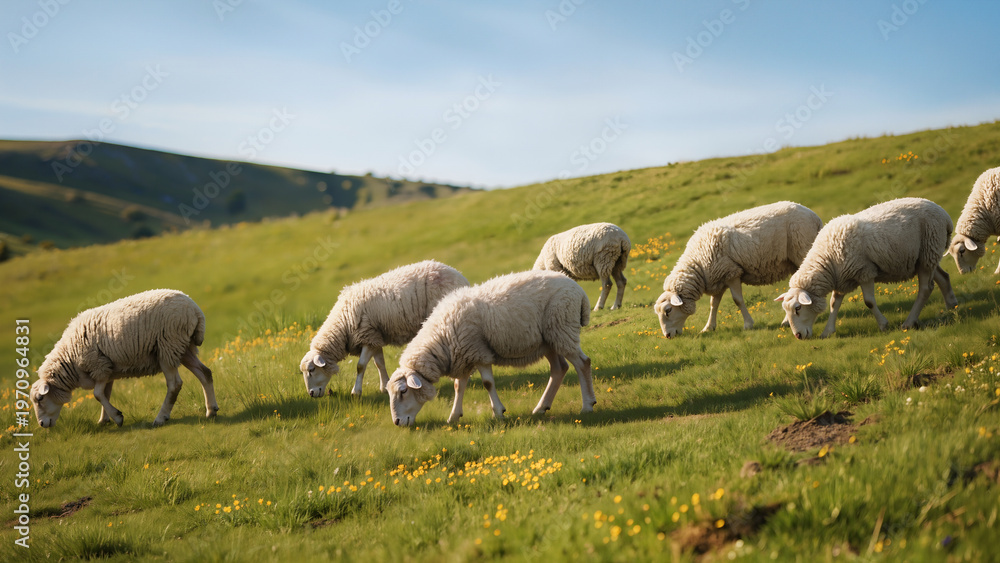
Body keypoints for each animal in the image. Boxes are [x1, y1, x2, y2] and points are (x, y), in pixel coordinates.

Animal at [29, 289, 217, 428]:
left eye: (40, 399)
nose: (41, 424)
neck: (69, 360)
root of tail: (195, 310)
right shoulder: (107, 369)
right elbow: (105, 394)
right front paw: (104, 420)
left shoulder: (98, 366)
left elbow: (97, 394)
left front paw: (118, 417)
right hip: (183, 347)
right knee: (205, 373)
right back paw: (211, 410)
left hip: (168, 345)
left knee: (175, 384)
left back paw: (161, 417)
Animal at [299, 260, 469, 398]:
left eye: (312, 370)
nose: (311, 394)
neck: (343, 323)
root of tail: (461, 277)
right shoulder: (374, 338)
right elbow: (379, 363)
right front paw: (384, 386)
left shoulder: (366, 335)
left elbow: (360, 366)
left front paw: (356, 391)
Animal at [386, 270, 596, 427]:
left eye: (403, 391)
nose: (397, 422)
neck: (442, 339)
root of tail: (579, 290)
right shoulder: (463, 355)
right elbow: (458, 386)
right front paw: (453, 417)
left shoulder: (478, 352)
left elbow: (487, 383)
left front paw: (498, 412)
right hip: (549, 340)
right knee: (559, 369)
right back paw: (540, 408)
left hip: (562, 327)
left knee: (583, 363)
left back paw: (587, 405)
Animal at [653, 201, 823, 338]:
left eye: (668, 310)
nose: (667, 336)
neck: (698, 264)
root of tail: (814, 216)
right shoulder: (717, 278)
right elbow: (713, 304)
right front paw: (708, 327)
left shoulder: (731, 273)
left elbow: (738, 300)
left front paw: (748, 324)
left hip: (803, 250)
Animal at [776, 197, 959, 339]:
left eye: (798, 308)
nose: (798, 336)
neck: (827, 260)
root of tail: (944, 216)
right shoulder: (842, 278)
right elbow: (834, 304)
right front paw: (827, 331)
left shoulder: (864, 272)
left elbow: (869, 302)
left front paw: (883, 325)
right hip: (926, 256)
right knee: (943, 277)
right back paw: (951, 305)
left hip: (929, 248)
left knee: (925, 288)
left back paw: (909, 322)